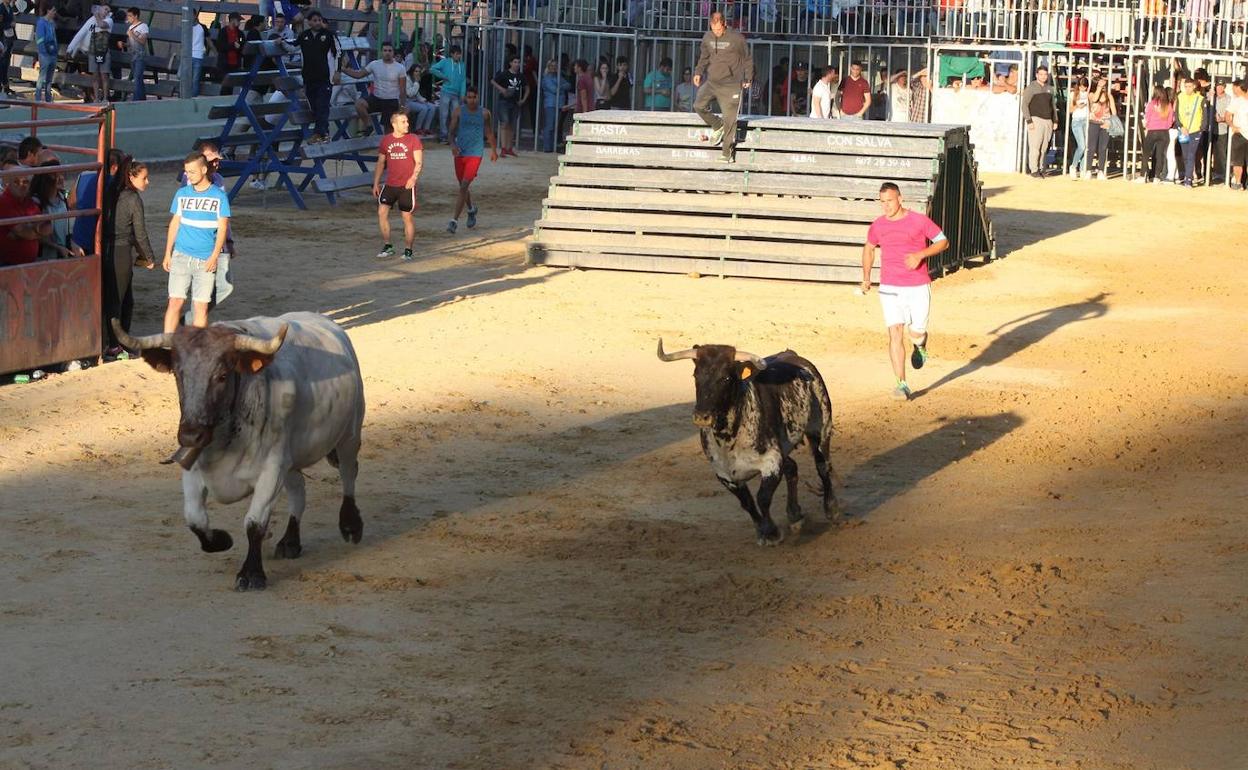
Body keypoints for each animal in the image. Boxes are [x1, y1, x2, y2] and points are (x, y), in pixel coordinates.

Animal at [112, 310, 366, 589]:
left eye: (222, 375)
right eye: (178, 376)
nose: (190, 434)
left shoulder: (271, 470)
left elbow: (254, 523)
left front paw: (251, 573)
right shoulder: (194, 467)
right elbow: (195, 518)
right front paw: (222, 540)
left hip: (350, 433)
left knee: (349, 473)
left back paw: (351, 525)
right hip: (291, 460)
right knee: (298, 491)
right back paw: (290, 541)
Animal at [653, 336, 838, 546]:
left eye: (725, 378)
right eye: (695, 375)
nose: (702, 416)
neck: (729, 438)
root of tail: (796, 357)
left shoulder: (771, 462)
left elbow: (762, 498)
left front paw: (772, 533)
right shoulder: (725, 475)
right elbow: (747, 503)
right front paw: (763, 531)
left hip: (821, 429)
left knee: (823, 466)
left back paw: (831, 509)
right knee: (792, 468)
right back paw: (795, 516)